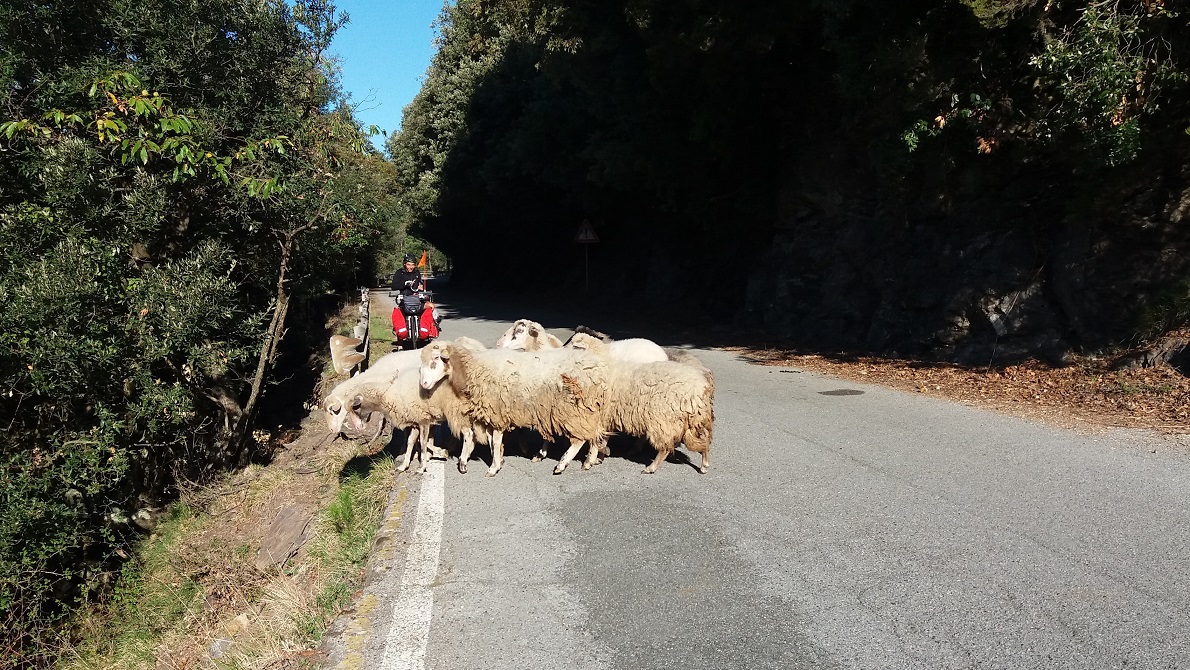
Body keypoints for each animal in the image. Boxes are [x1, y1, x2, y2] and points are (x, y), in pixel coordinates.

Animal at [419, 340, 609, 476]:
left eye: (436, 359)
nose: (424, 384)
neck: (473, 369)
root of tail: (596, 368)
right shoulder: (492, 416)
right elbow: (491, 441)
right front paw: (499, 461)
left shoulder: (497, 413)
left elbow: (495, 441)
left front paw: (493, 467)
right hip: (588, 409)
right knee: (594, 434)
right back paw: (589, 461)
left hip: (572, 411)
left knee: (580, 439)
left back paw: (562, 464)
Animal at [565, 333, 714, 475]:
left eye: (575, 346)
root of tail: (701, 387)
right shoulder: (608, 416)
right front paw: (599, 456)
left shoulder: (602, 415)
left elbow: (596, 440)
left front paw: (590, 460)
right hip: (694, 417)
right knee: (705, 439)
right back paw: (704, 465)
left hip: (663, 419)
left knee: (665, 447)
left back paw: (650, 466)